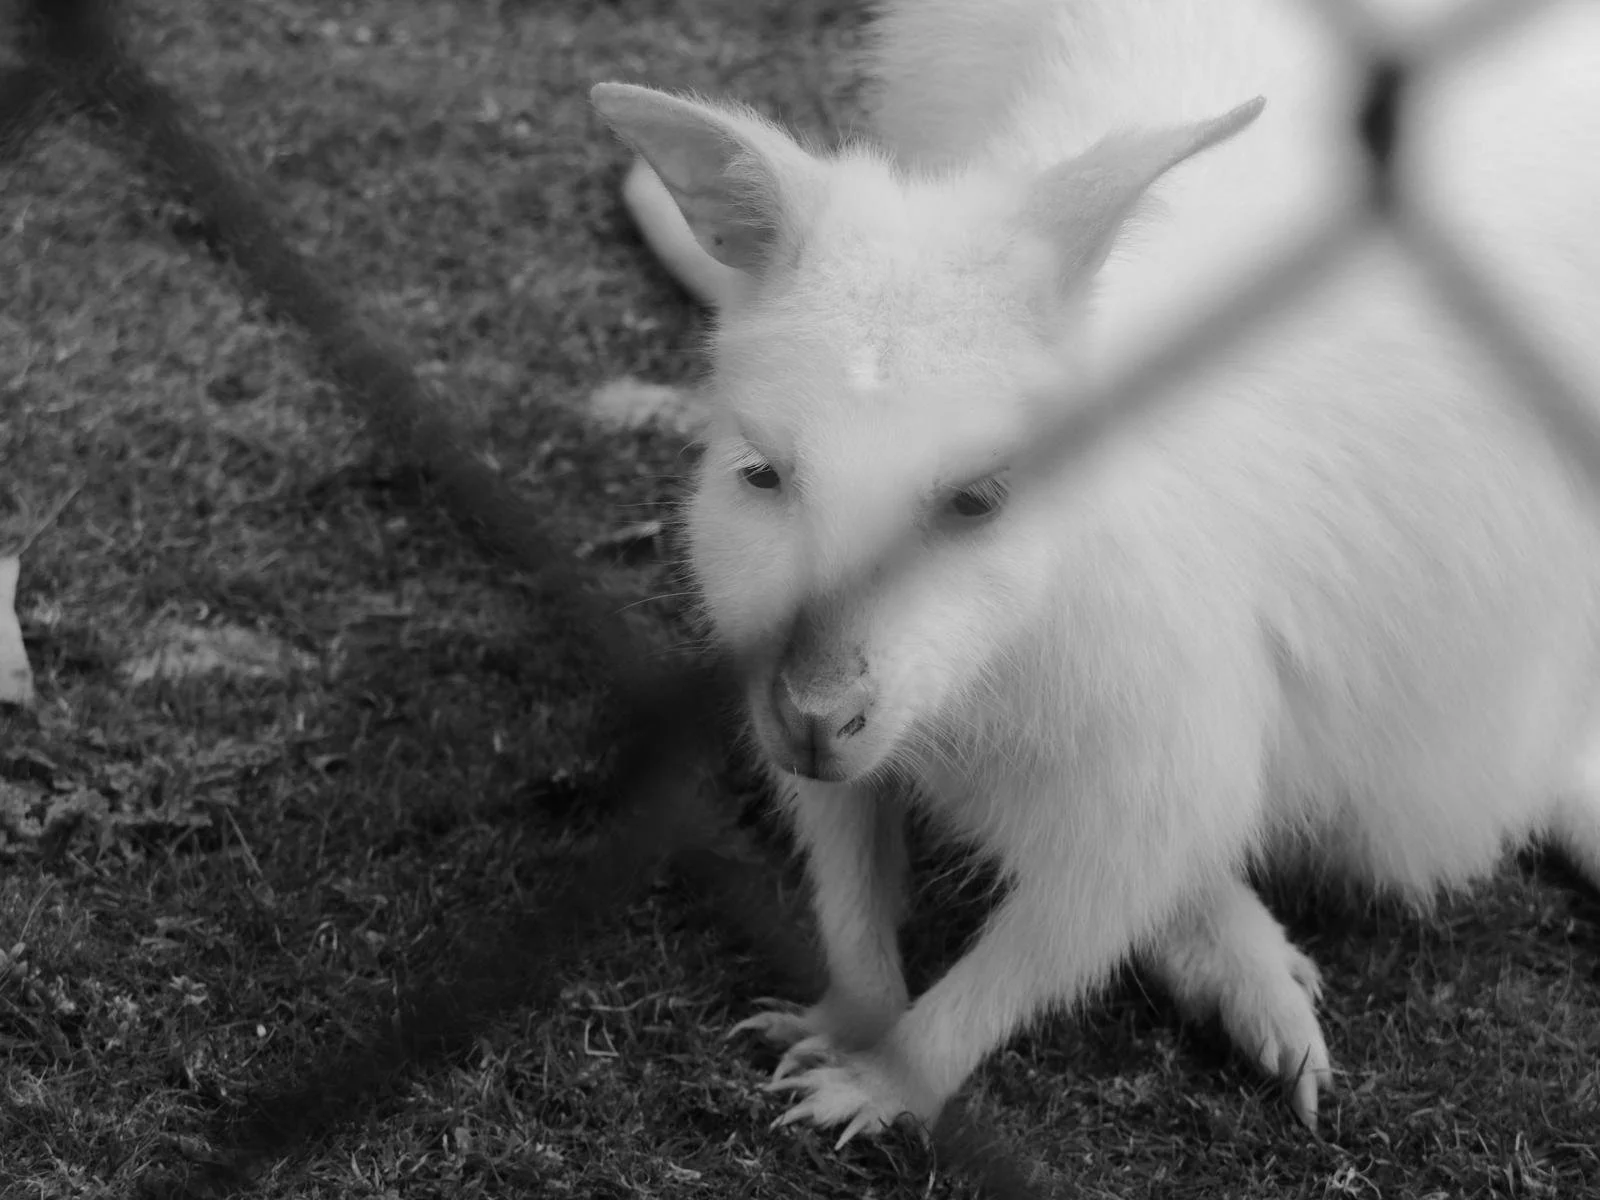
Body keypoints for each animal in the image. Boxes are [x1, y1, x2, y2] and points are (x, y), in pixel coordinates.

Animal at [590, 0, 1600, 1145]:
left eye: (979, 498)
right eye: (760, 474)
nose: (813, 712)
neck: (989, 667)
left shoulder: (1170, 739)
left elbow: (1073, 926)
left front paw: (885, 1077)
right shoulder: (793, 689)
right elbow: (845, 848)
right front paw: (849, 1015)